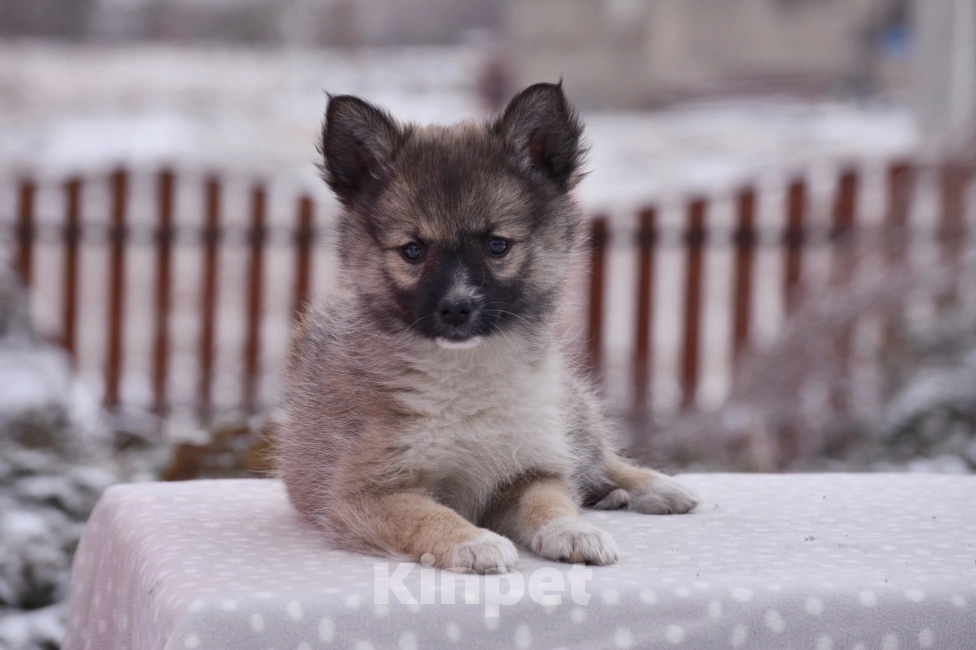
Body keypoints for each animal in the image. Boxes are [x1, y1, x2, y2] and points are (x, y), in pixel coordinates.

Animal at [278, 82, 696, 572]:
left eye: (497, 245)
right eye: (413, 251)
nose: (457, 309)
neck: (467, 370)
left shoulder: (529, 468)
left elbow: (551, 500)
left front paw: (573, 530)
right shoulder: (368, 492)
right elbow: (428, 513)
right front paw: (472, 541)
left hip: (565, 415)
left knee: (596, 458)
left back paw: (655, 487)